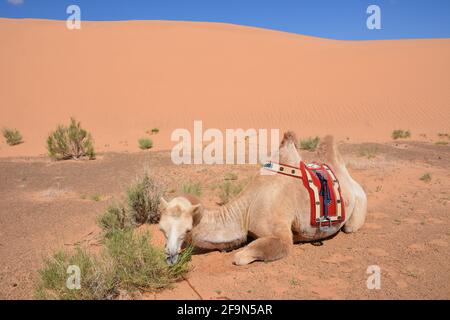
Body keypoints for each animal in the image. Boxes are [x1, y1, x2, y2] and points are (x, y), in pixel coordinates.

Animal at [158, 132, 366, 264]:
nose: (169, 255)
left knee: (350, 227)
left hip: (358, 205)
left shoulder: (280, 234)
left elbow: (240, 257)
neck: (246, 210)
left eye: (187, 229)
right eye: (161, 229)